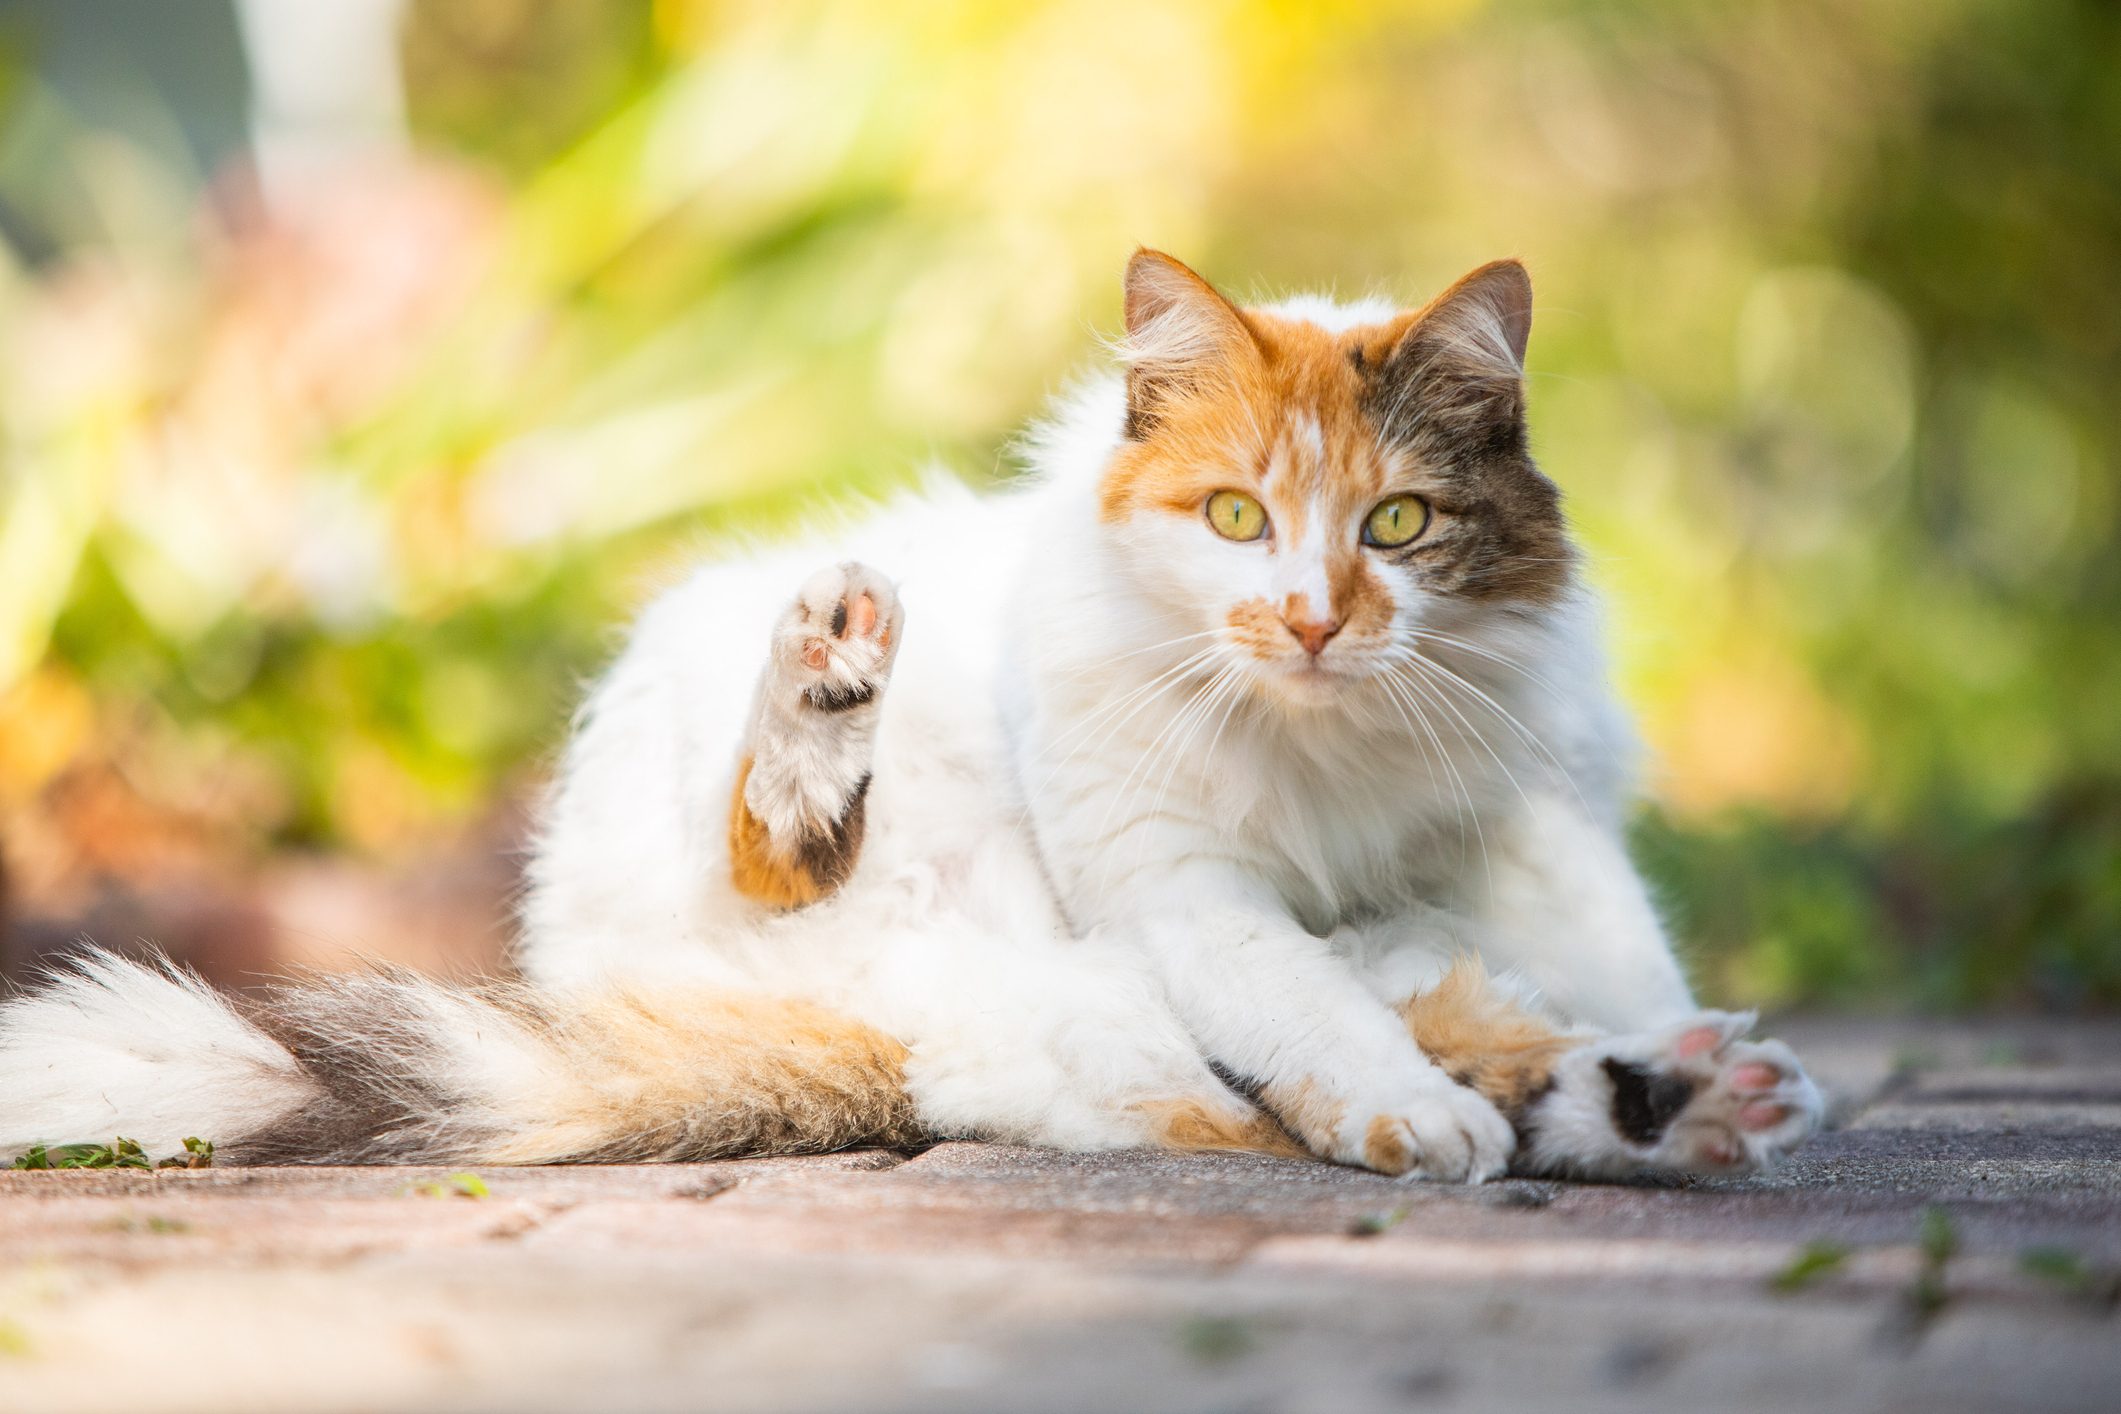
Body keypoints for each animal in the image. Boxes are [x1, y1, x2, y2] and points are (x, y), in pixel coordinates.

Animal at [0, 254, 1824, 1187]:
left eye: (1396, 525)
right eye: (1237, 517)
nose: (1312, 618)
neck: (1319, 745)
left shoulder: (1523, 829)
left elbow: (1603, 955)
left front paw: (1636, 1054)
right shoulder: (1177, 886)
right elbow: (1308, 1015)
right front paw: (1407, 1118)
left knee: (1425, 1030)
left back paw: (1671, 1099)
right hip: (834, 879)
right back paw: (820, 700)